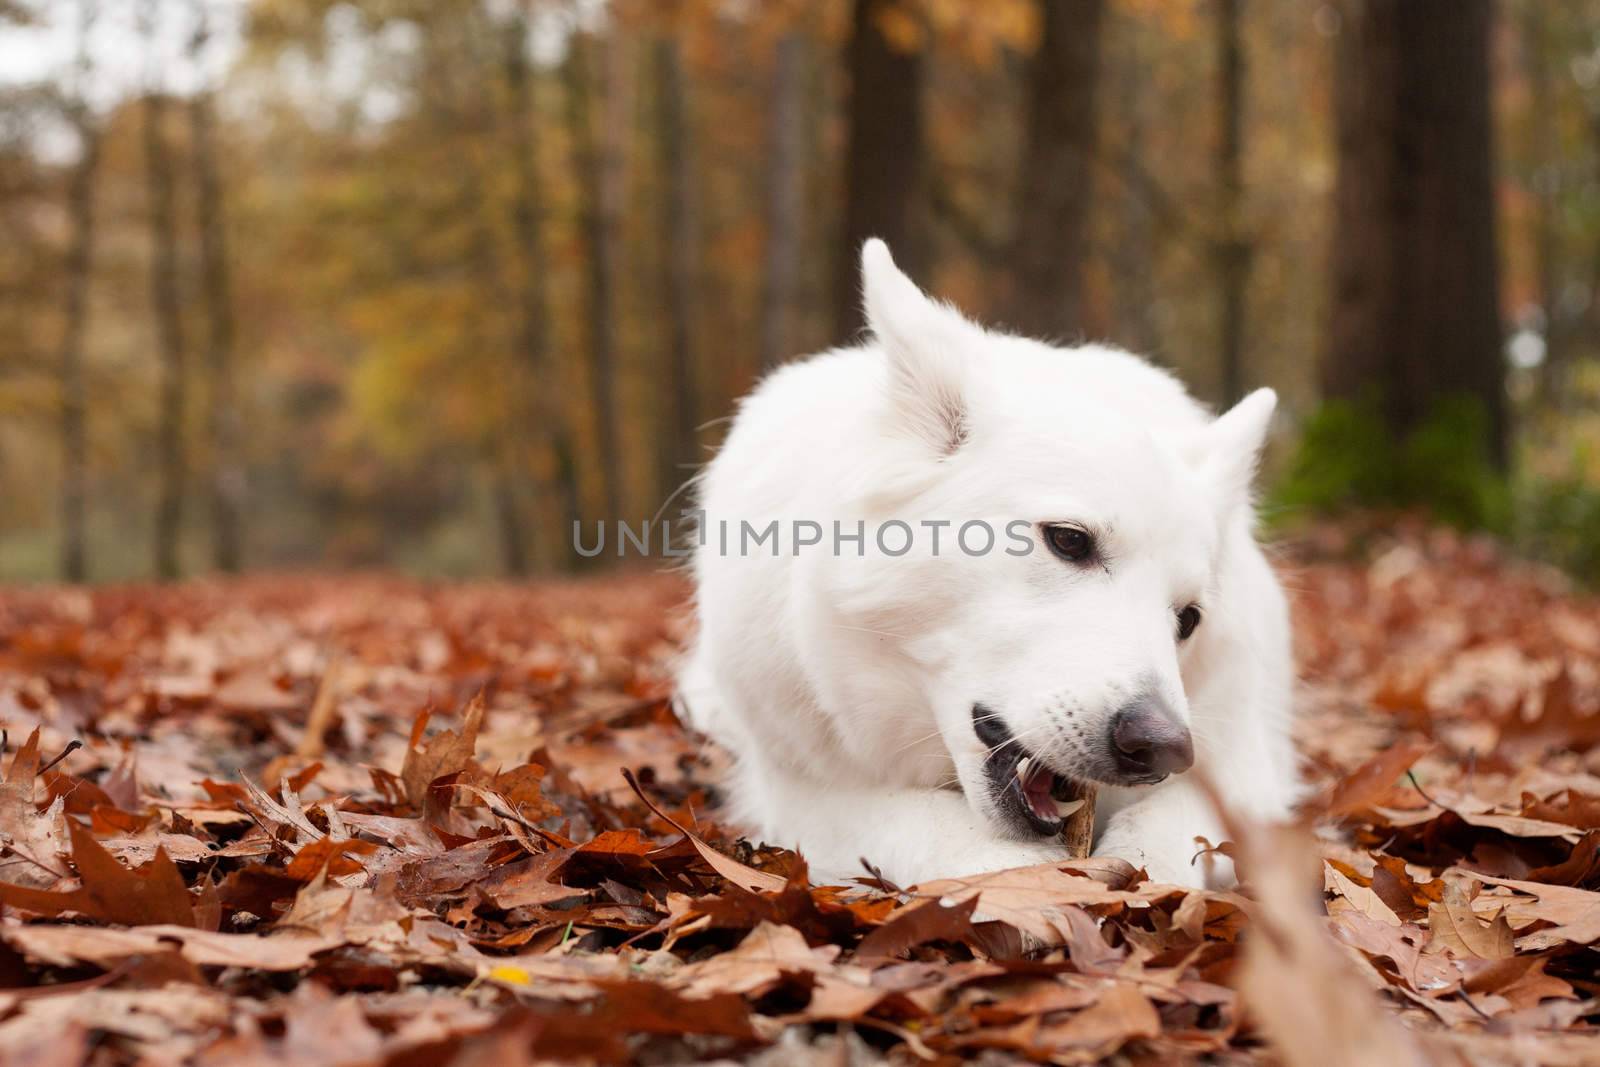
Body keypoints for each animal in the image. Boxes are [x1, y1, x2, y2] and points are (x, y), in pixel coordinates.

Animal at [678, 244, 1299, 895]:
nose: (1164, 749)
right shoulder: (807, 795)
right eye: (1069, 541)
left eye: (1188, 620)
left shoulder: (1244, 771)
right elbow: (943, 831)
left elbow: (1165, 836)